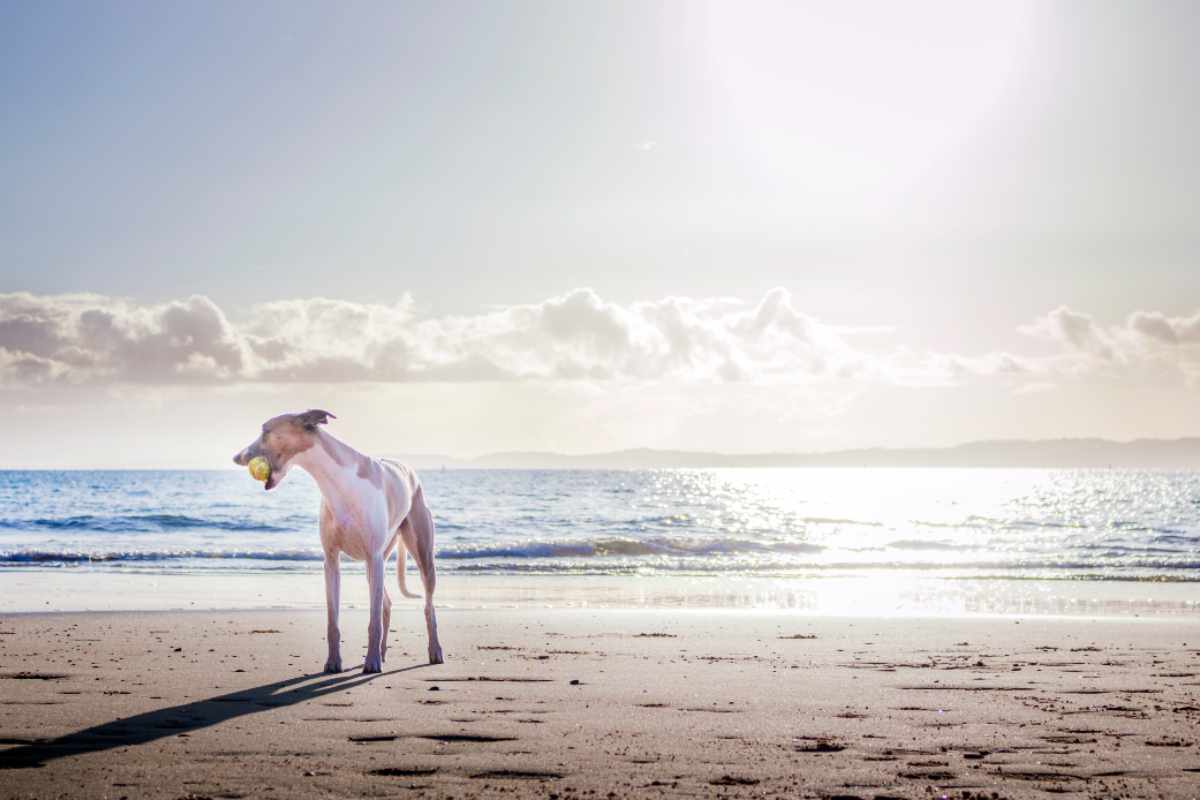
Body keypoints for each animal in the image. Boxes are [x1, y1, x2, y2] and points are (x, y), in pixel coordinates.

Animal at [231, 410, 444, 671]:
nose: (236, 457)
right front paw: (333, 662)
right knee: (386, 603)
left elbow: (373, 621)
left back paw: (433, 650)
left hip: (419, 556)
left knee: (428, 607)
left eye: (266, 431)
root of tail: (408, 470)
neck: (338, 483)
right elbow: (333, 620)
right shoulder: (331, 560)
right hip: (375, 565)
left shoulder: (373, 555)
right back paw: (383, 651)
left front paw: (371, 662)